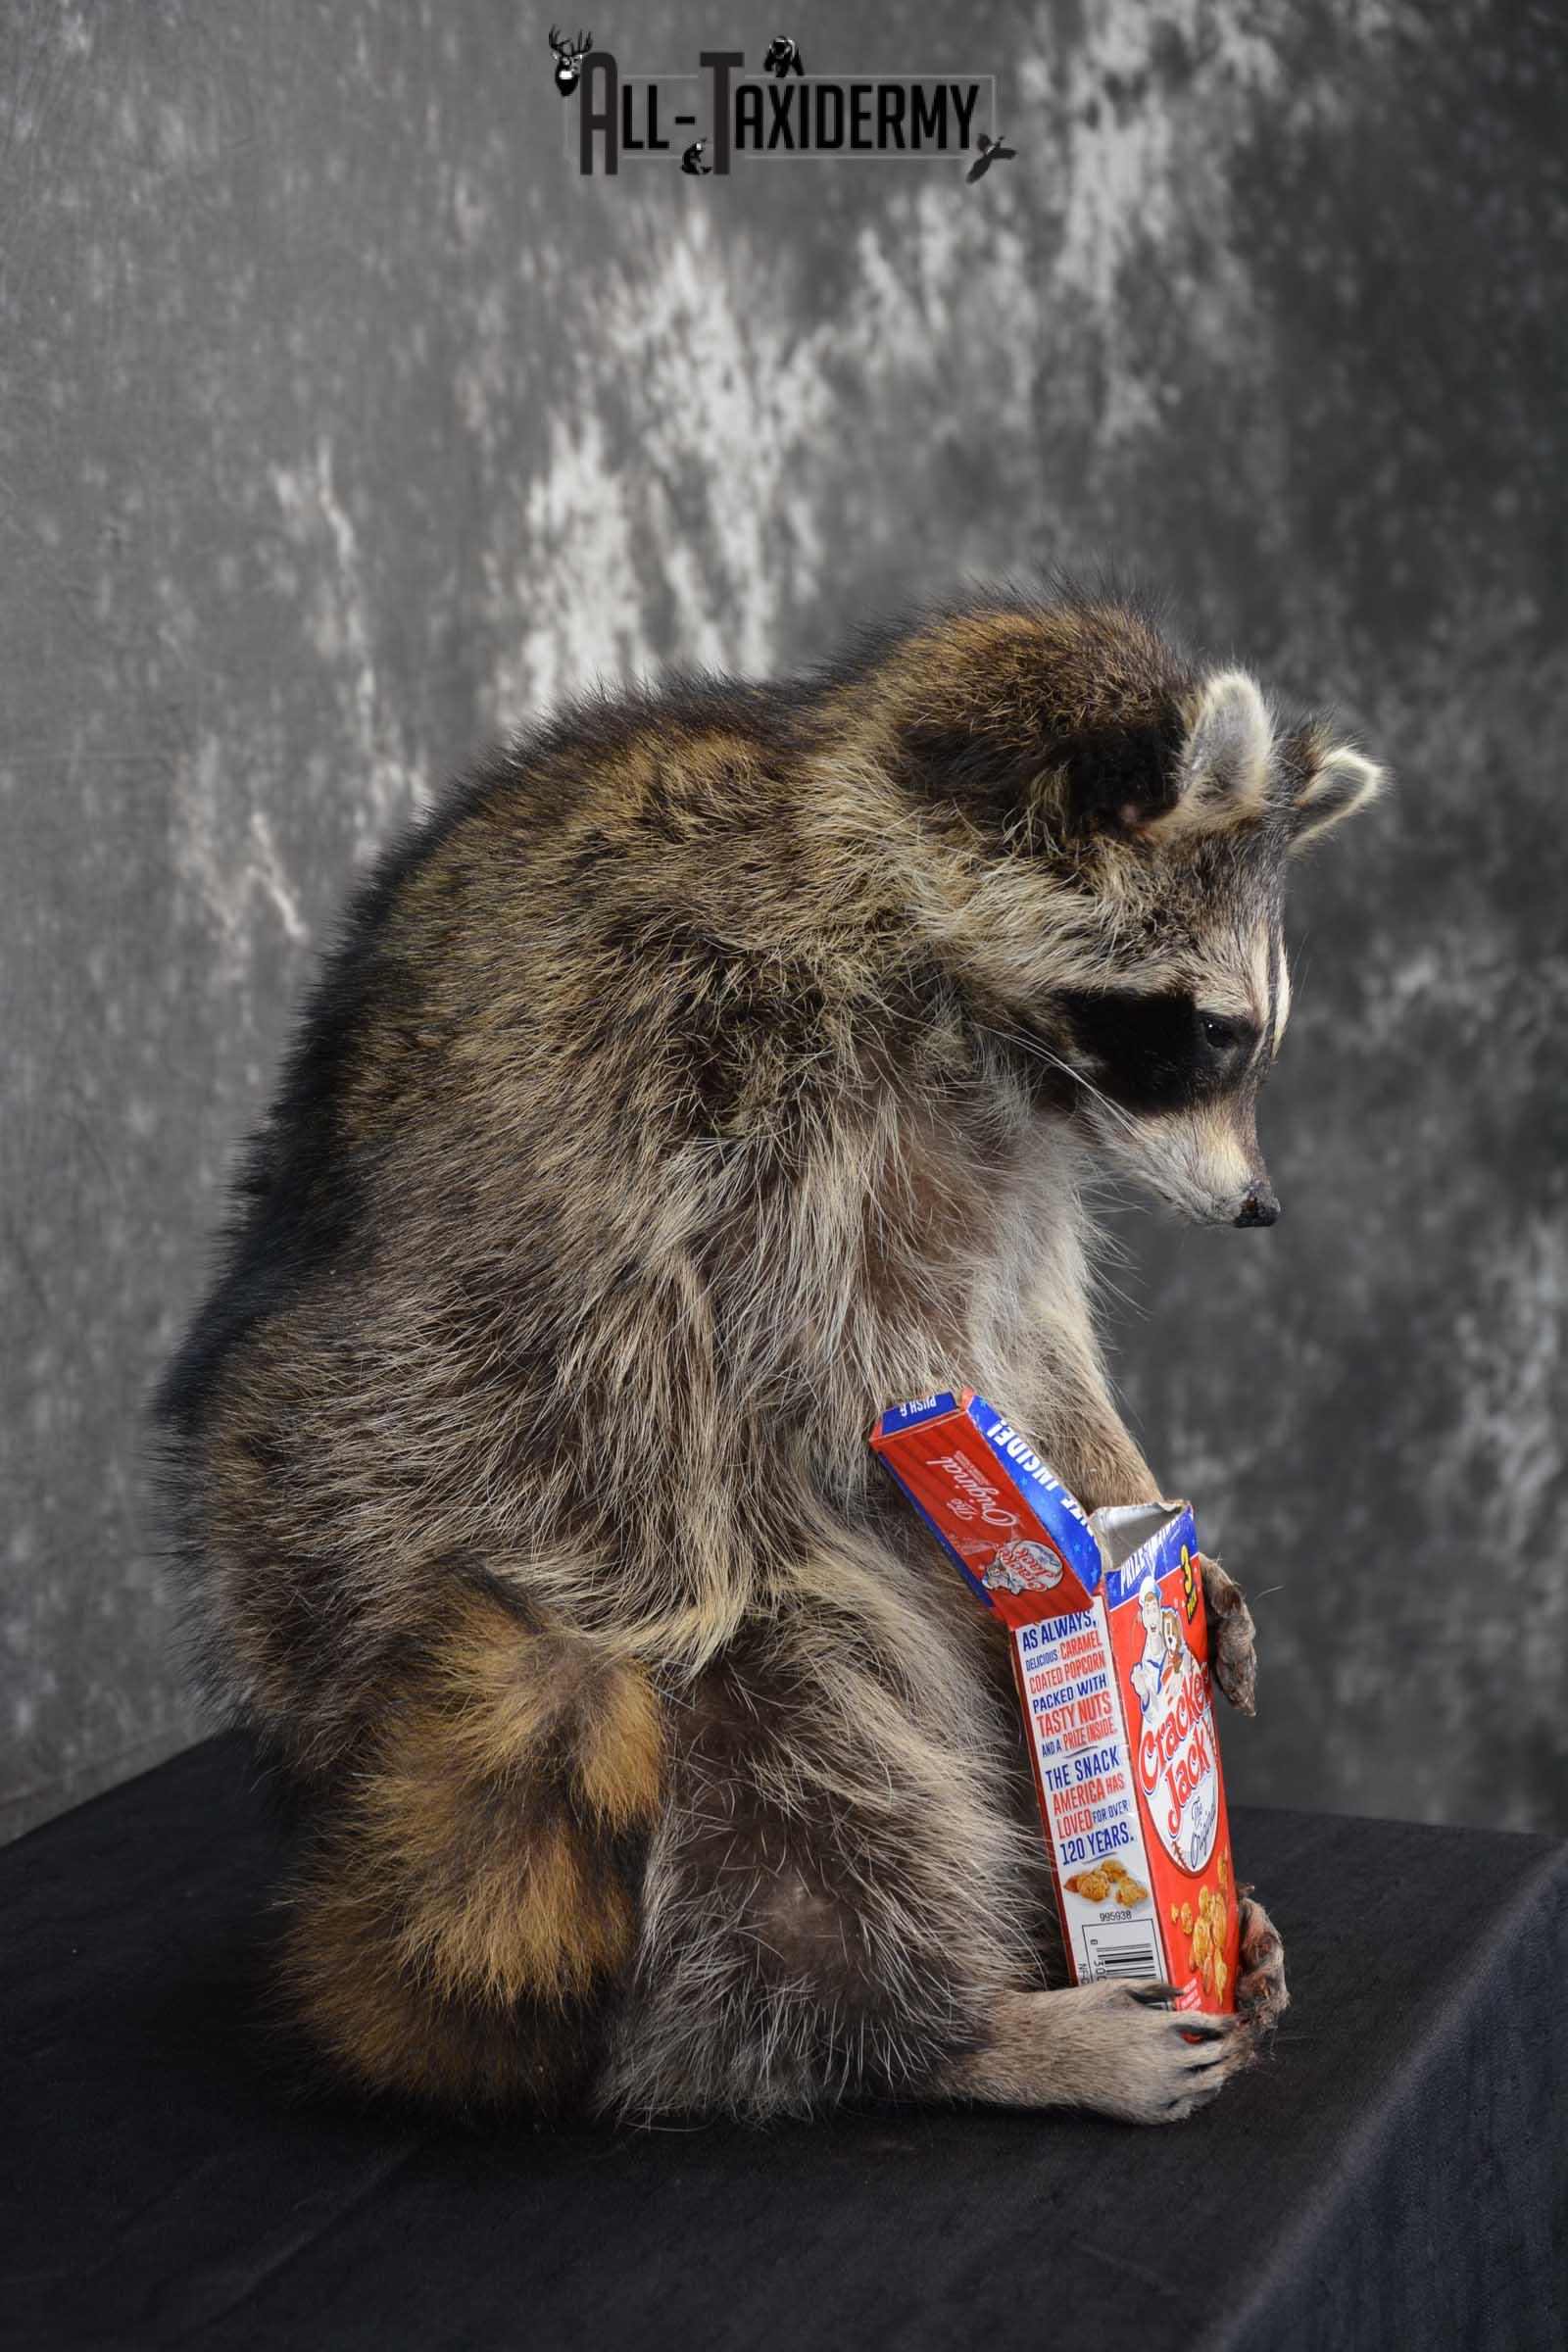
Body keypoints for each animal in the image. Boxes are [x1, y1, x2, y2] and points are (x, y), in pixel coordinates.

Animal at [155, 586, 1382, 2125]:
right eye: (1212, 1032)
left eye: (1251, 1039)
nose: (1259, 1207)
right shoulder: (734, 1066)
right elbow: (852, 1354)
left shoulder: (1004, 1149)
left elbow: (1027, 1330)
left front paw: (1129, 1506)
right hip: (493, 1568)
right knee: (804, 1738)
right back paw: (942, 2029)